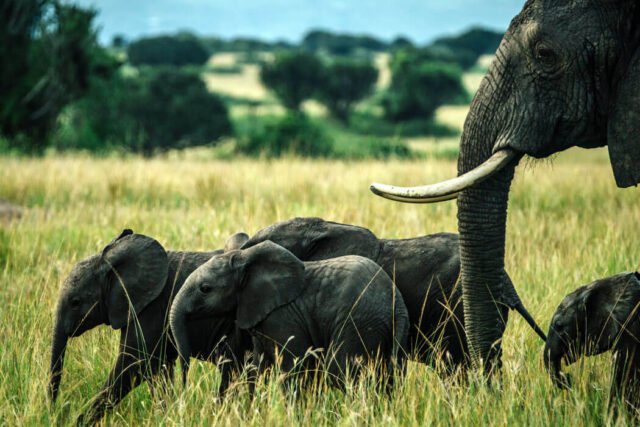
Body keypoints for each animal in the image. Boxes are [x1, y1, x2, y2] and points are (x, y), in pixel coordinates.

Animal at [49, 229, 250, 424]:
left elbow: (134, 364)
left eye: (75, 302)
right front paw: (169, 416)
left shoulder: (152, 309)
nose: (53, 410)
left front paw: (76, 422)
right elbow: (160, 369)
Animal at [169, 241, 410, 391]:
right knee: (388, 375)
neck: (246, 260)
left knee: (340, 371)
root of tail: (397, 303)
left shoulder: (282, 317)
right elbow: (258, 366)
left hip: (358, 320)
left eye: (205, 289)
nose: (184, 387)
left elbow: (294, 367)